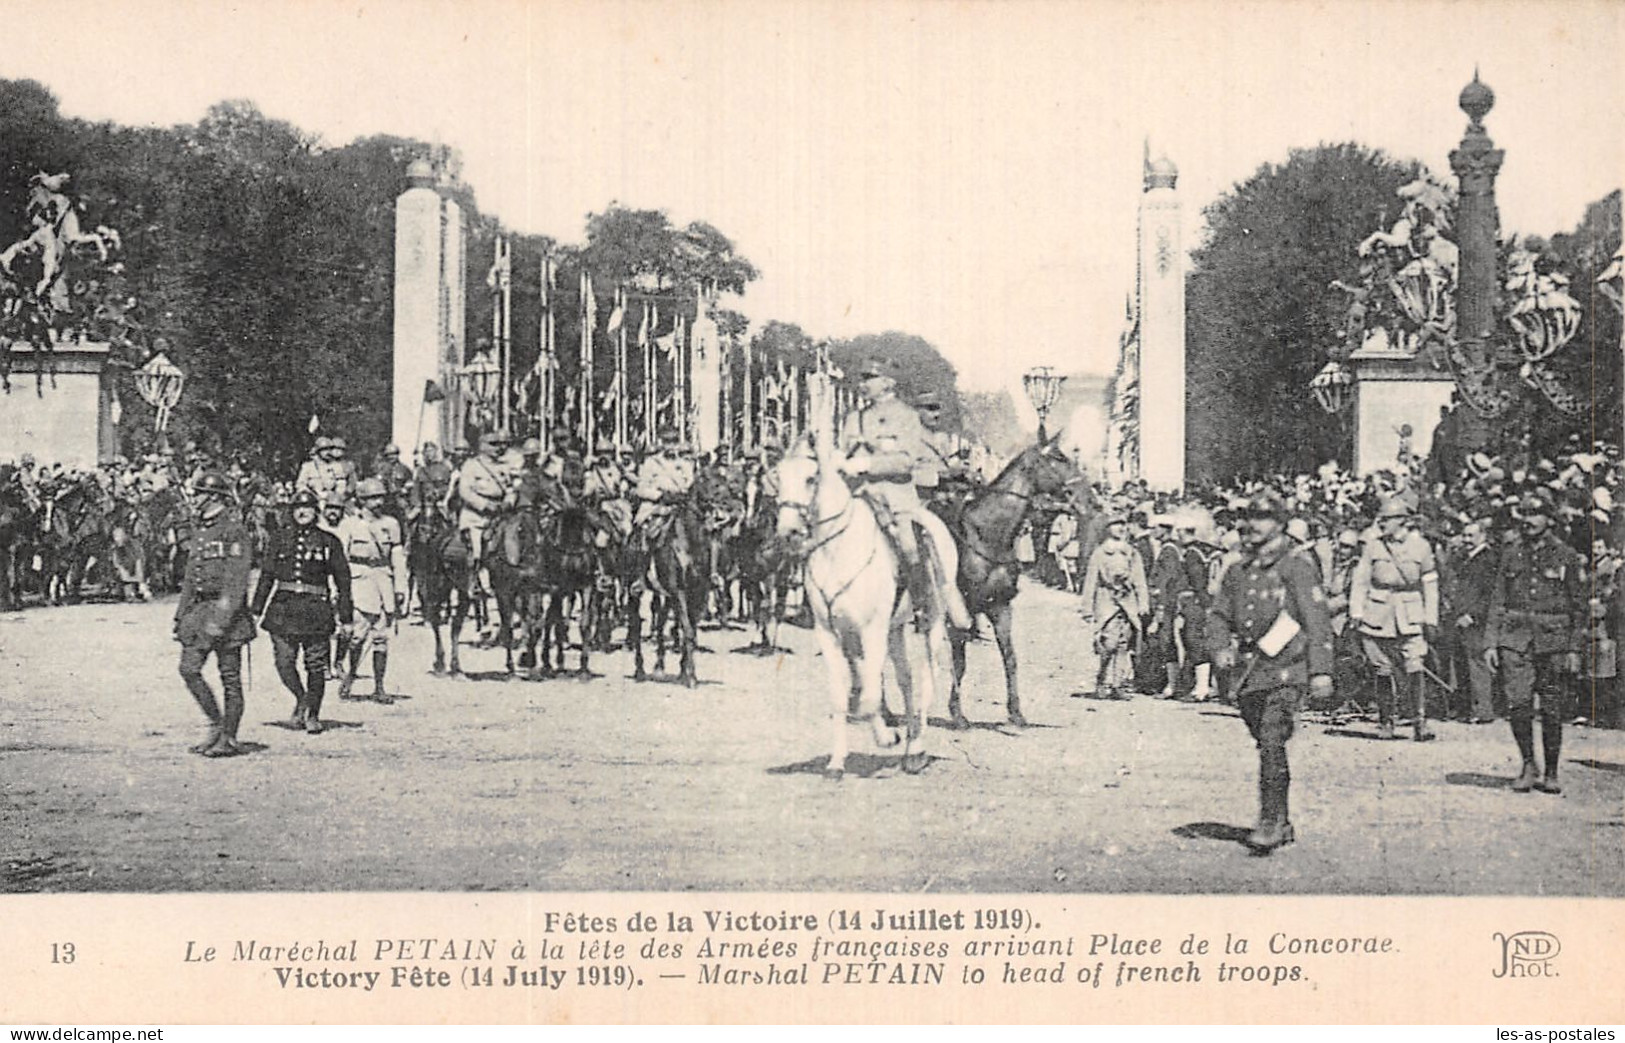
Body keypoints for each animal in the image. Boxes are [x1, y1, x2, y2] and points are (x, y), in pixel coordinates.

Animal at [773, 381, 949, 773]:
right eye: (777, 477)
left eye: (810, 477)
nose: (787, 532)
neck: (837, 551)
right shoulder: (831, 632)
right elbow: (845, 695)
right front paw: (837, 762)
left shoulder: (870, 629)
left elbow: (869, 697)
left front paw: (886, 737)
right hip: (895, 629)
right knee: (906, 679)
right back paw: (910, 743)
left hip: (930, 622)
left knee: (926, 681)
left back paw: (917, 748)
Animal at [949, 435, 1098, 727]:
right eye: (1059, 458)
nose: (1090, 499)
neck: (986, 536)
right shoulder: (962, 611)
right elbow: (959, 662)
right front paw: (957, 715)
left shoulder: (1000, 606)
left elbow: (1010, 658)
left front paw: (1016, 712)